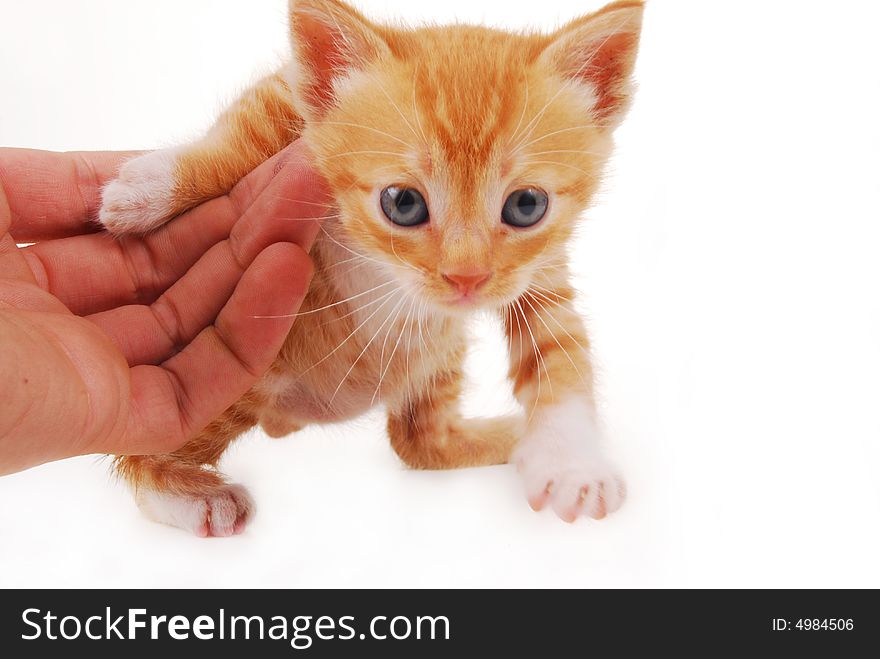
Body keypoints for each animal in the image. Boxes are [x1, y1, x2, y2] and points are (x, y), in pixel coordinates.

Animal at [99, 0, 644, 536]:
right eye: (403, 203)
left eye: (526, 206)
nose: (466, 278)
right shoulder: (290, 95)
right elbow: (246, 130)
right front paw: (149, 188)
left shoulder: (539, 272)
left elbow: (558, 347)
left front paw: (573, 464)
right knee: (140, 454)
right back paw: (193, 497)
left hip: (435, 358)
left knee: (419, 442)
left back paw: (510, 434)